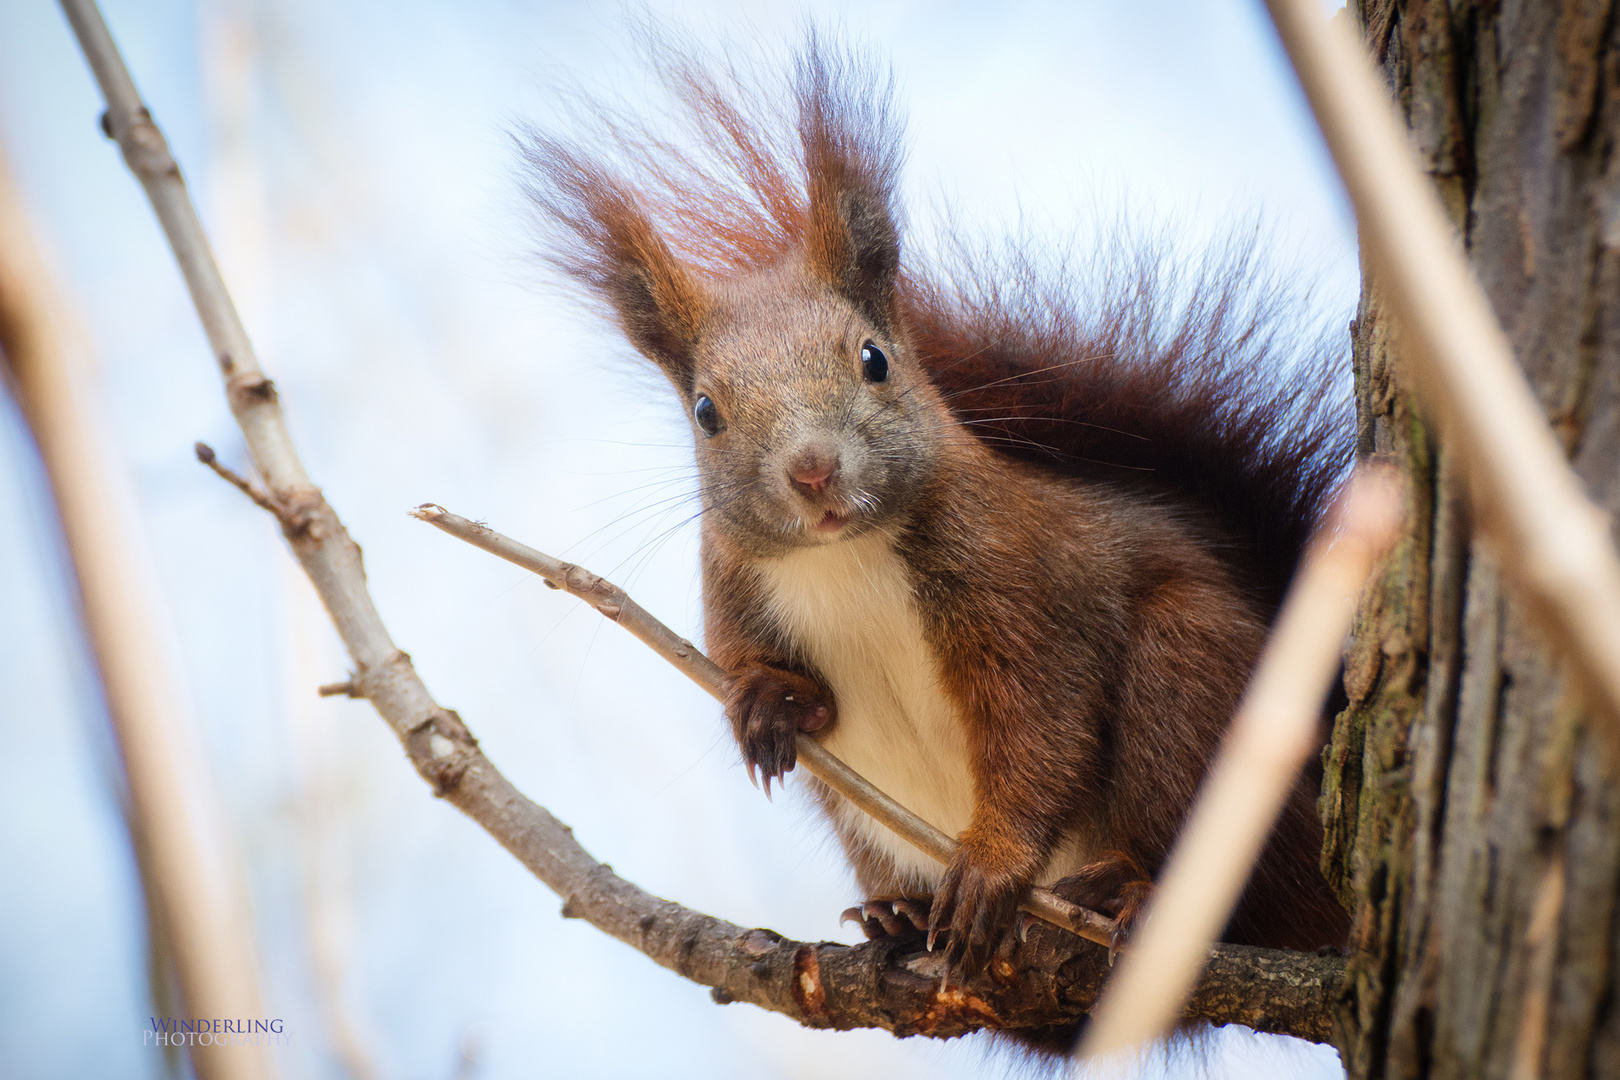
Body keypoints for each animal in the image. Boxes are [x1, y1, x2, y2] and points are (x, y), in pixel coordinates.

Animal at [521, 33, 1354, 984]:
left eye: (874, 359)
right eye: (705, 411)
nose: (812, 470)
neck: (843, 557)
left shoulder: (1023, 587)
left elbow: (1042, 731)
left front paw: (992, 862)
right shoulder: (732, 582)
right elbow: (743, 663)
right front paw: (768, 699)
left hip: (1194, 683)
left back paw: (1132, 892)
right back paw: (901, 914)